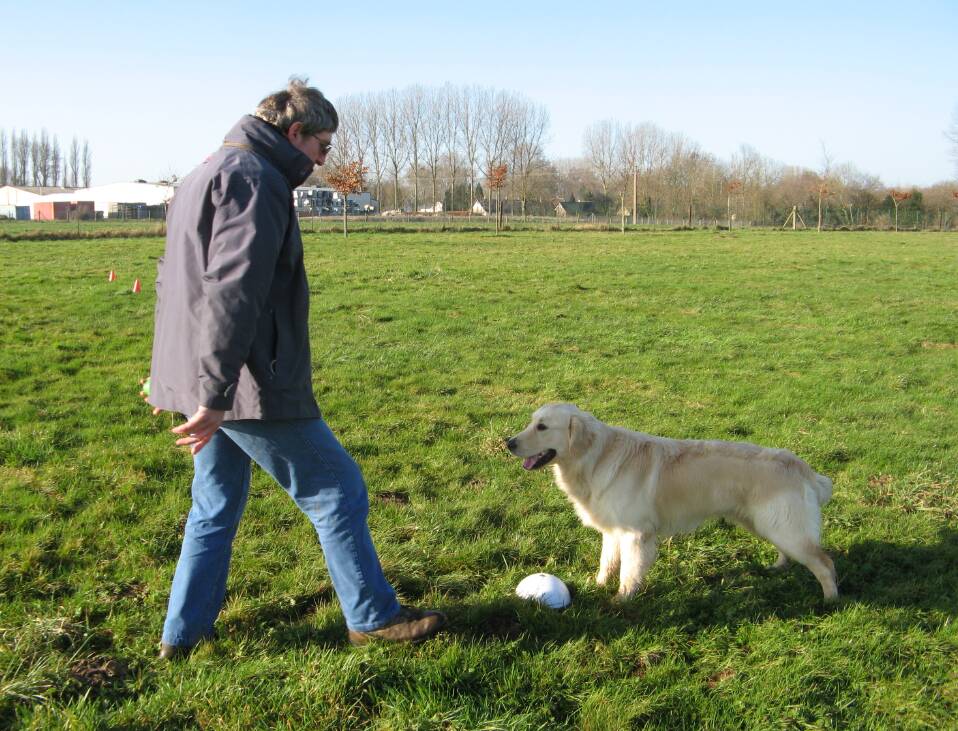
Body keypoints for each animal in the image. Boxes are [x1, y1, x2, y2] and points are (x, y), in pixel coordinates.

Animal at [506, 404, 836, 604]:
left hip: (783, 527)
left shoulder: (635, 535)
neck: (595, 459)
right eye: (531, 422)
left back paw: (830, 600)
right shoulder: (613, 531)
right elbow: (606, 564)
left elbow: (628, 573)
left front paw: (620, 601)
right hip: (765, 523)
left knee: (825, 563)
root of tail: (803, 468)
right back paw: (778, 567)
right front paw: (597, 586)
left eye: (542, 427)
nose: (508, 442)